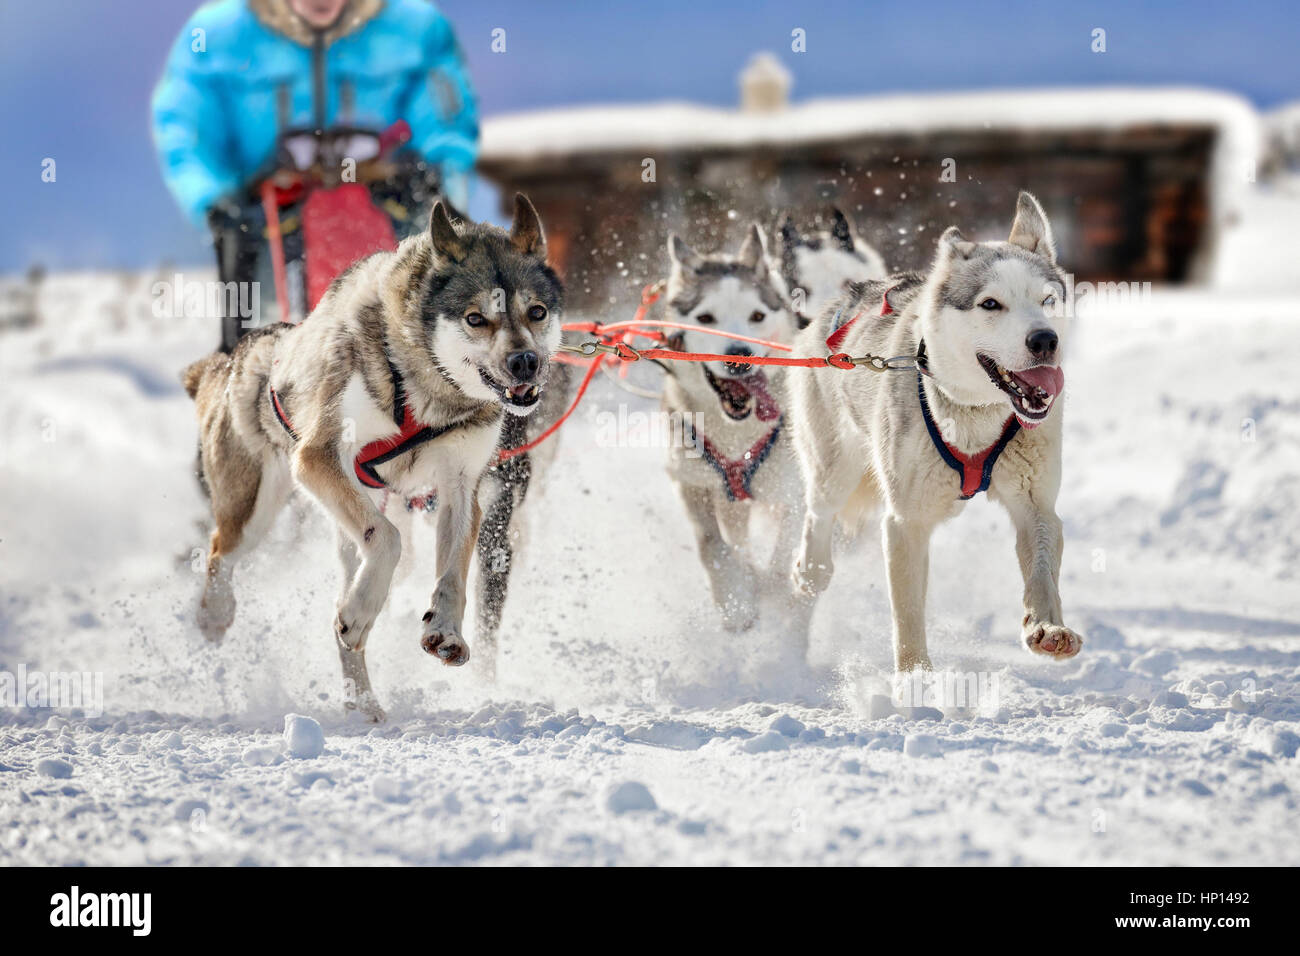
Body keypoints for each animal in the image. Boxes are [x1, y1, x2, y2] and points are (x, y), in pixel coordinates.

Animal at [182, 196, 564, 717]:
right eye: (474, 318)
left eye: (537, 311)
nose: (526, 362)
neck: (432, 389)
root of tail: (233, 359)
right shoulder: (319, 456)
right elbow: (387, 539)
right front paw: (366, 611)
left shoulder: (463, 487)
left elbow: (453, 572)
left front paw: (445, 628)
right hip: (258, 505)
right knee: (222, 550)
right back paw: (220, 612)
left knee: (345, 614)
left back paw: (362, 703)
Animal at [785, 192, 1081, 671]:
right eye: (990, 304)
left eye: (1048, 300)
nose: (1044, 340)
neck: (975, 414)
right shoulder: (906, 522)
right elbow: (907, 615)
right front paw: (915, 679)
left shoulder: (1036, 506)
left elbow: (1042, 573)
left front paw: (1047, 628)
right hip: (834, 467)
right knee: (819, 512)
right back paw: (811, 571)